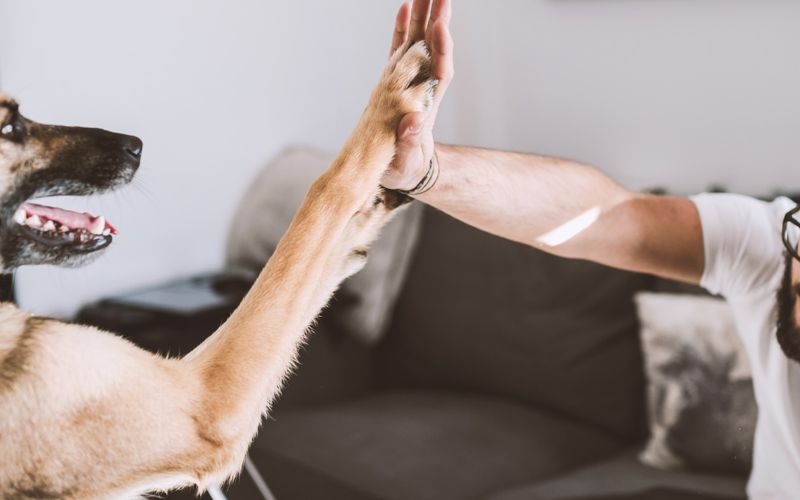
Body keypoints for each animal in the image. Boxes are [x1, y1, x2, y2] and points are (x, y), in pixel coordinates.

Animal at [0, 41, 438, 498]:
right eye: (10, 129)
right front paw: (389, 100)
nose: (135, 145)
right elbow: (322, 198)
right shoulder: (206, 401)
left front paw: (366, 219)